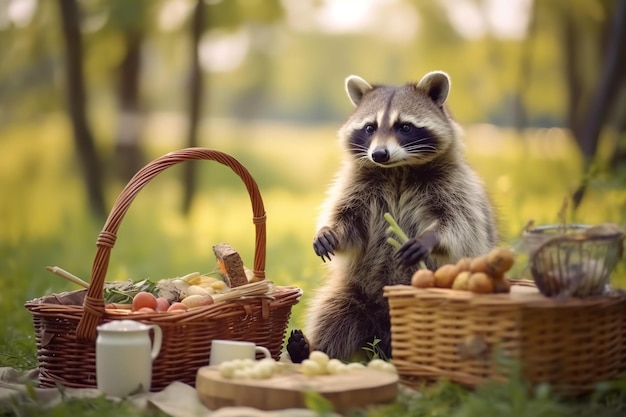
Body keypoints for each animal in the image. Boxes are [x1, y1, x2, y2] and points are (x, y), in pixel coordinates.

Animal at [302, 70, 498, 360]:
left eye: (404, 127)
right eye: (370, 128)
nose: (379, 154)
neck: (397, 170)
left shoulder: (456, 186)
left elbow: (461, 224)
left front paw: (430, 237)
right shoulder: (356, 186)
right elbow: (350, 224)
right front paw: (330, 232)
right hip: (353, 291)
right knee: (331, 314)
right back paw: (308, 349)